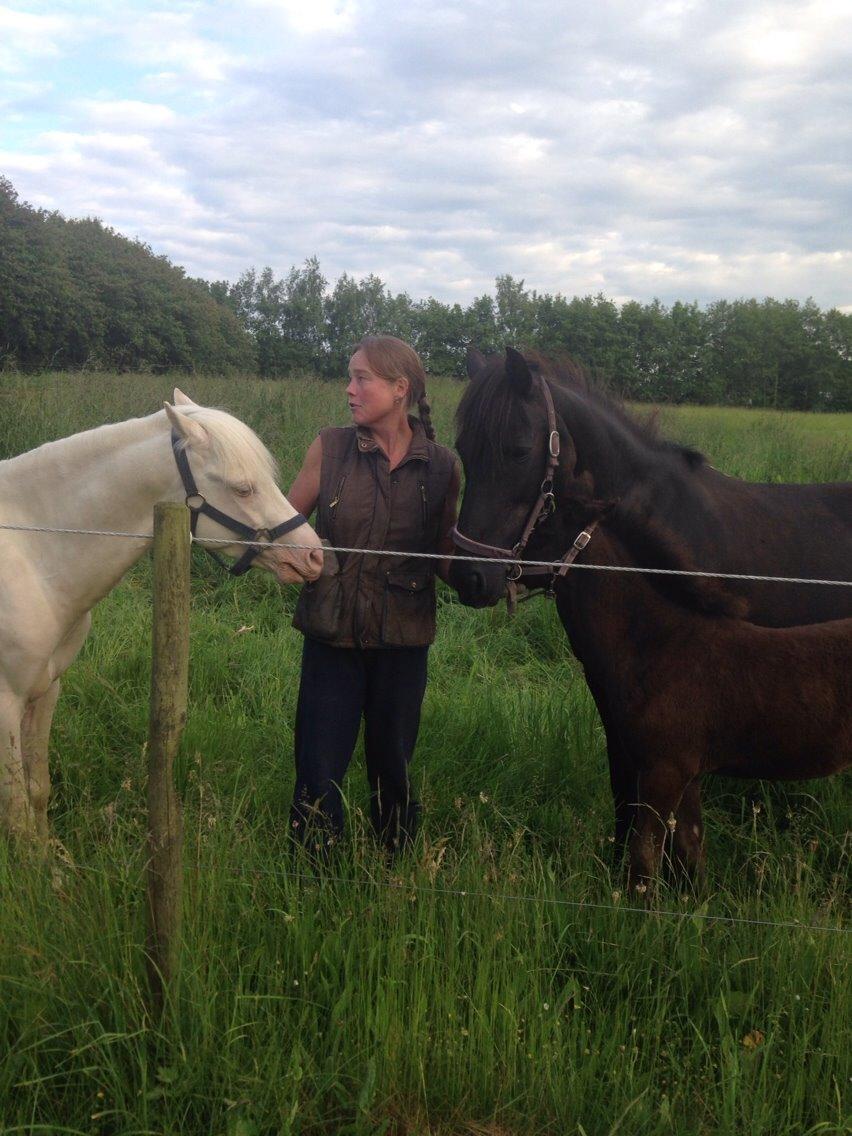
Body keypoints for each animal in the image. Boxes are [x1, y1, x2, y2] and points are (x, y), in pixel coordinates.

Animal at [0, 389, 324, 845]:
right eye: (243, 488)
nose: (313, 555)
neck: (32, 550)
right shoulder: (6, 704)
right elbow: (16, 815)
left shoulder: (46, 689)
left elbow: (37, 790)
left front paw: (48, 860)